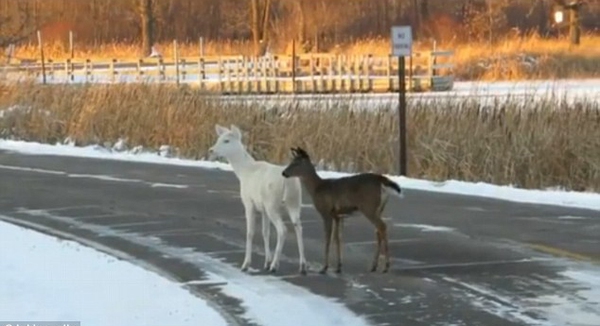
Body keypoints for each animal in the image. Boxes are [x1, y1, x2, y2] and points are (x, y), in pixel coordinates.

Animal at [207, 123, 310, 274]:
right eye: (218, 138)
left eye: (226, 140)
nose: (211, 150)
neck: (244, 172)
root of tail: (288, 182)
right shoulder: (263, 209)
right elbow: (265, 232)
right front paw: (266, 262)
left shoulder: (249, 202)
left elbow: (250, 232)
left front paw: (246, 264)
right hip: (294, 202)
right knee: (299, 227)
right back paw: (302, 266)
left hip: (272, 203)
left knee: (283, 230)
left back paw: (275, 265)